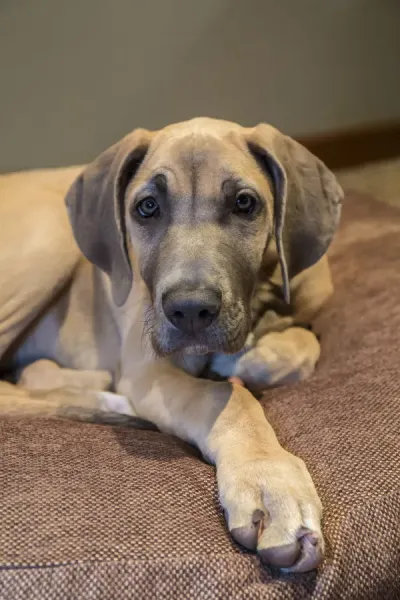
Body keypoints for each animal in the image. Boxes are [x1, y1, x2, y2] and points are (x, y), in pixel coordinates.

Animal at [0, 117, 342, 572]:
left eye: (244, 203)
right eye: (146, 207)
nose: (190, 310)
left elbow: (302, 343)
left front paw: (253, 357)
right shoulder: (148, 368)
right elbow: (225, 399)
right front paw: (269, 484)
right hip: (48, 235)